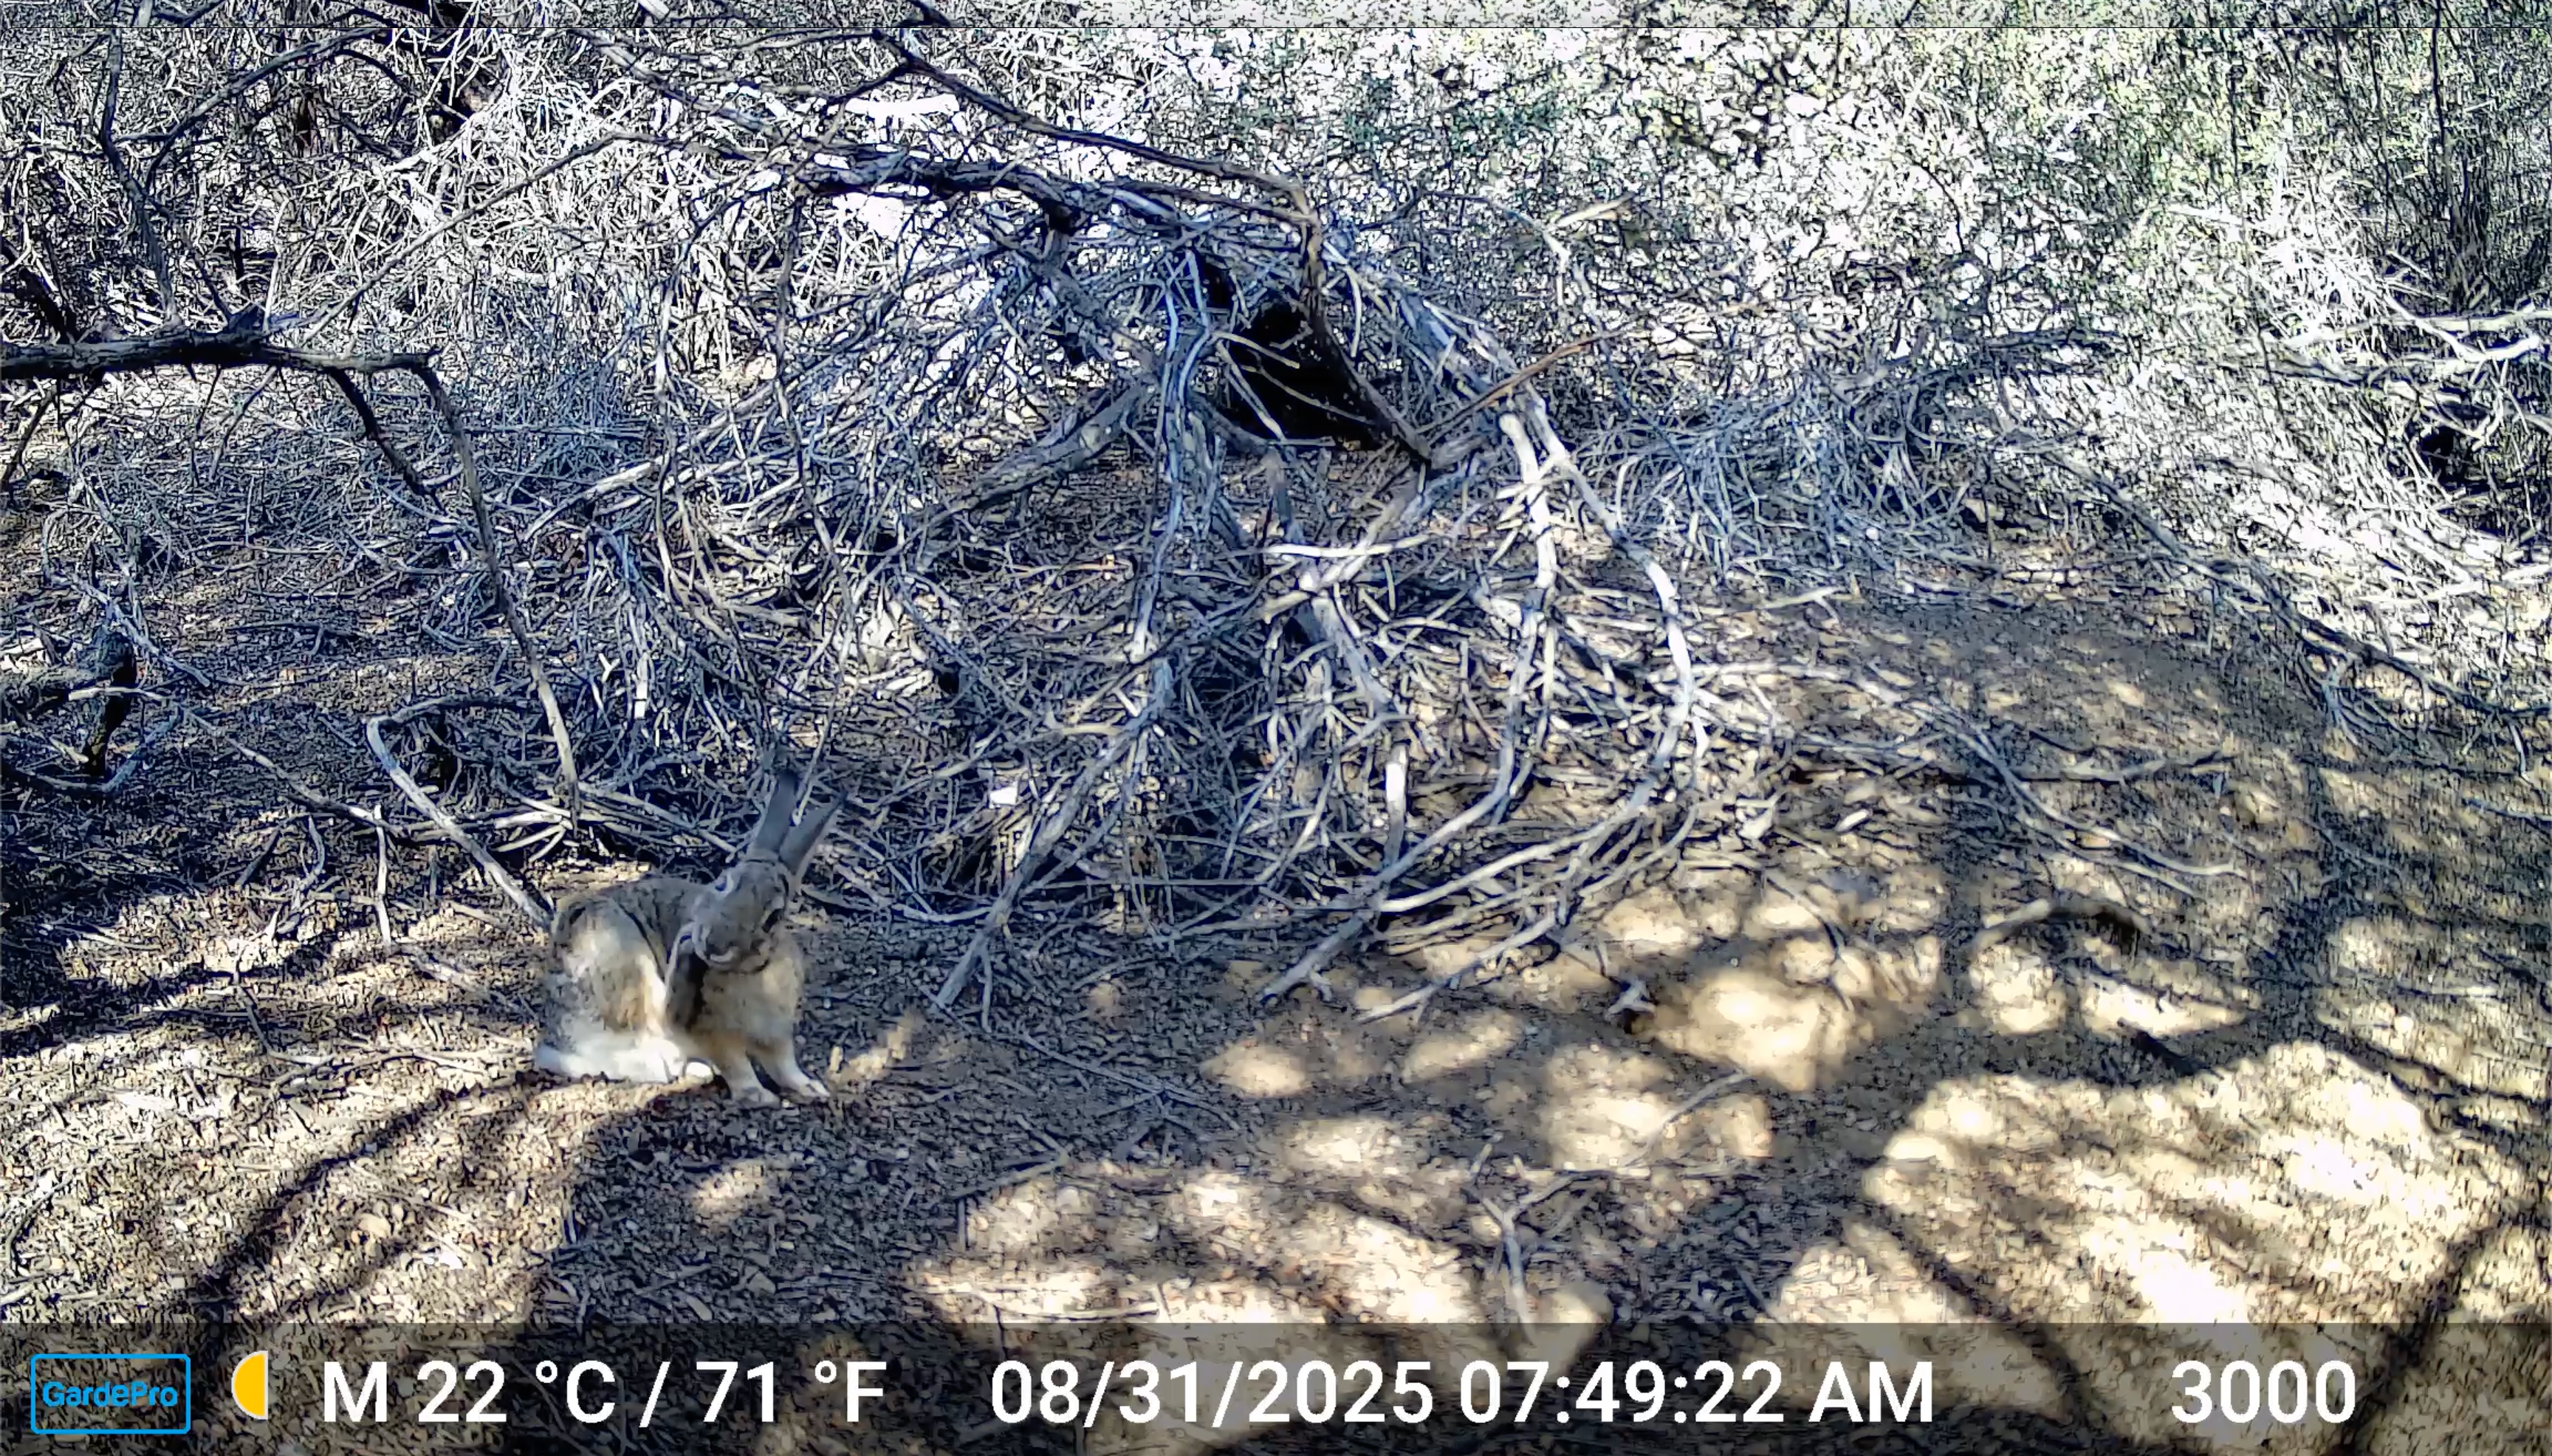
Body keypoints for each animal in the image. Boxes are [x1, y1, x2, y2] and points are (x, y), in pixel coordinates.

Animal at [533, 765, 841, 1108]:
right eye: (723, 883)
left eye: (772, 918)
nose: (711, 943)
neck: (753, 973)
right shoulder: (713, 1034)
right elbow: (736, 1065)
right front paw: (758, 1095)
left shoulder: (775, 1034)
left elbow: (785, 1066)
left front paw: (811, 1089)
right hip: (619, 946)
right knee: (663, 1016)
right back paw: (683, 956)